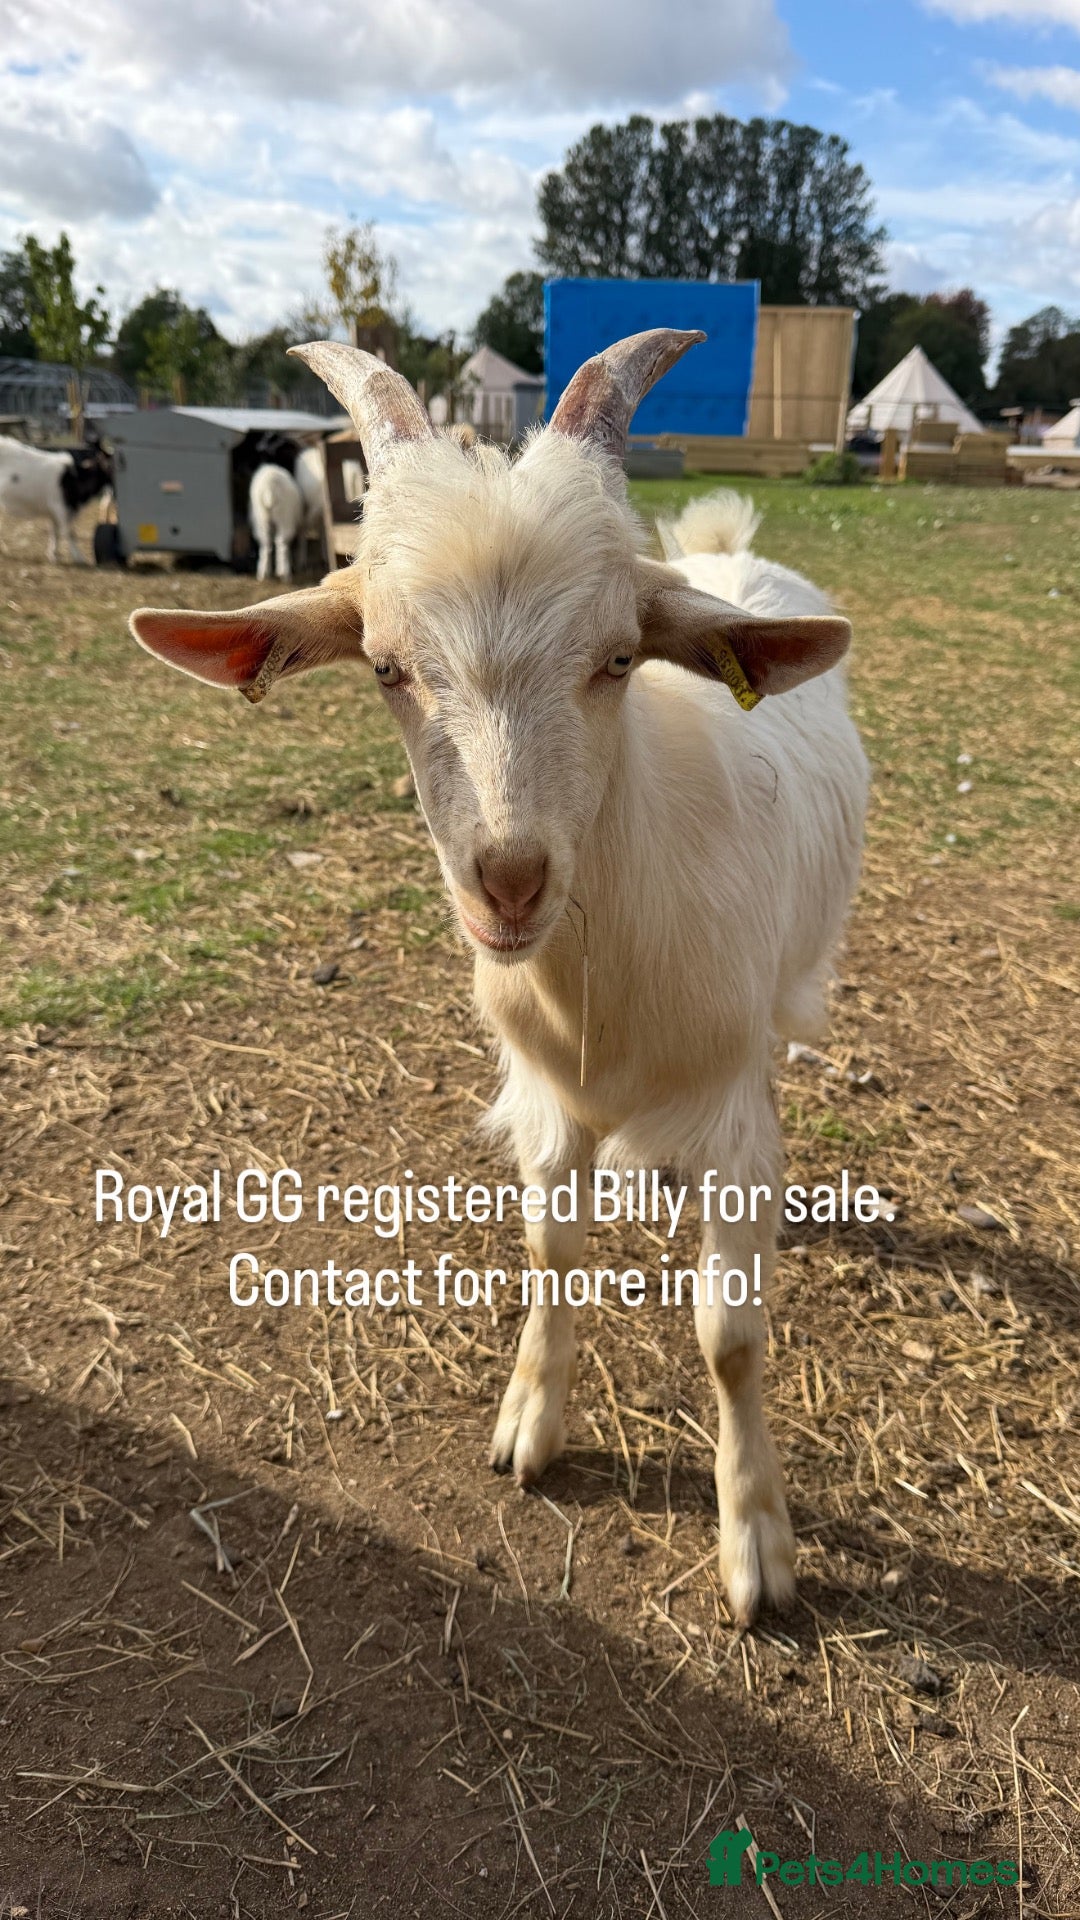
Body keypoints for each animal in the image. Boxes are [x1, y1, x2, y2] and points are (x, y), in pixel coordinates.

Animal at [129, 330, 869, 1624]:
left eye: (618, 658)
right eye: (384, 667)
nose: (510, 880)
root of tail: (722, 551)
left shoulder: (730, 1106)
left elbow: (730, 1335)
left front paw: (758, 1546)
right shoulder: (547, 1098)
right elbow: (551, 1254)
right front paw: (531, 1421)